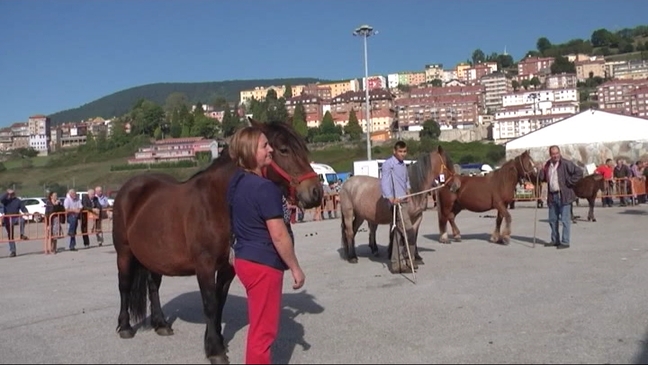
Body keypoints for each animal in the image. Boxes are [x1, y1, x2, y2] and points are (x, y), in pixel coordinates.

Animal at [114, 118, 324, 362]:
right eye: (283, 149)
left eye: (303, 148)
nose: (315, 192)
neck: (217, 202)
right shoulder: (204, 266)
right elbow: (210, 304)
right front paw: (214, 349)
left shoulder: (227, 267)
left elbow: (220, 301)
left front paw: (218, 340)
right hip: (124, 253)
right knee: (124, 286)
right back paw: (125, 326)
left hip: (155, 257)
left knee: (153, 286)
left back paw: (161, 323)